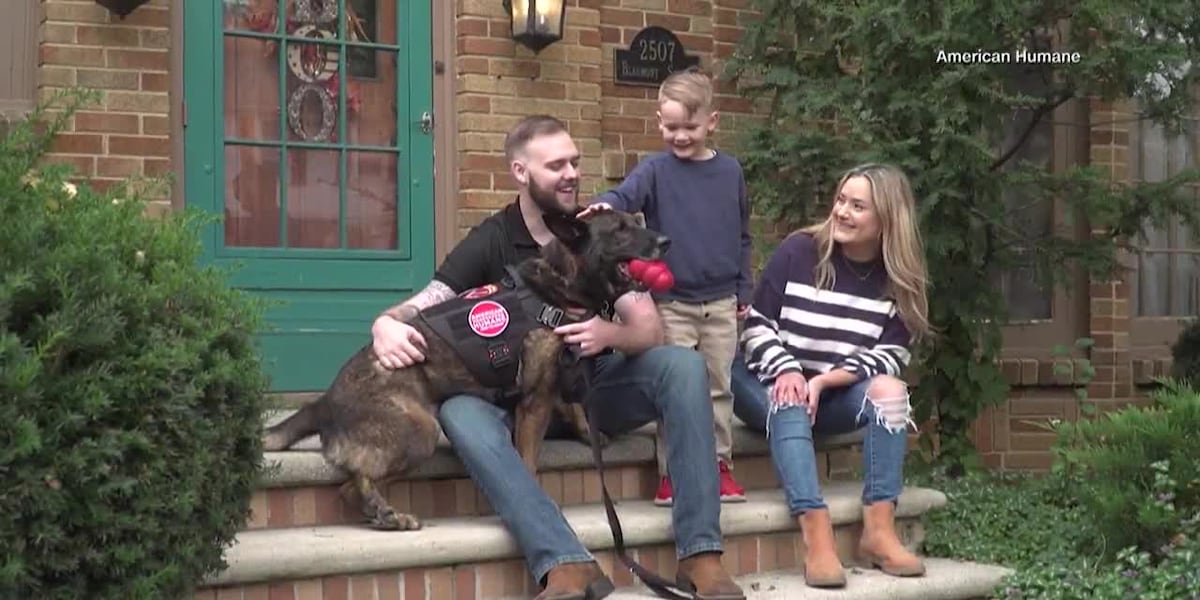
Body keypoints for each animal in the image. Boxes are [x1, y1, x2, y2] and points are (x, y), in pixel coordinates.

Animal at [262, 210, 672, 530]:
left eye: (637, 220)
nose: (666, 241)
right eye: (621, 229)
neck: (559, 284)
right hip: (422, 430)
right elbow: (527, 462)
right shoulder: (535, 400)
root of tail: (325, 402)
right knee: (350, 486)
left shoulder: (558, 375)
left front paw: (588, 431)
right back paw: (387, 514)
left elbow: (575, 403)